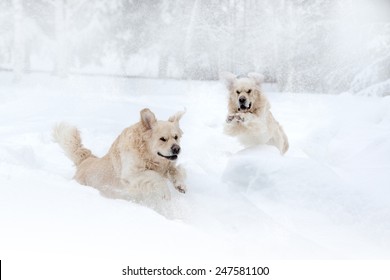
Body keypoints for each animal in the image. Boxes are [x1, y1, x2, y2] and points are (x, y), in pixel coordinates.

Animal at [52, 108, 187, 202]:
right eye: (162, 139)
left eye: (176, 137)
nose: (177, 149)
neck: (145, 153)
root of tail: (85, 160)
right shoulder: (130, 174)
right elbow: (155, 176)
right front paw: (165, 193)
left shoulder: (166, 165)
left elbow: (175, 170)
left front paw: (180, 185)